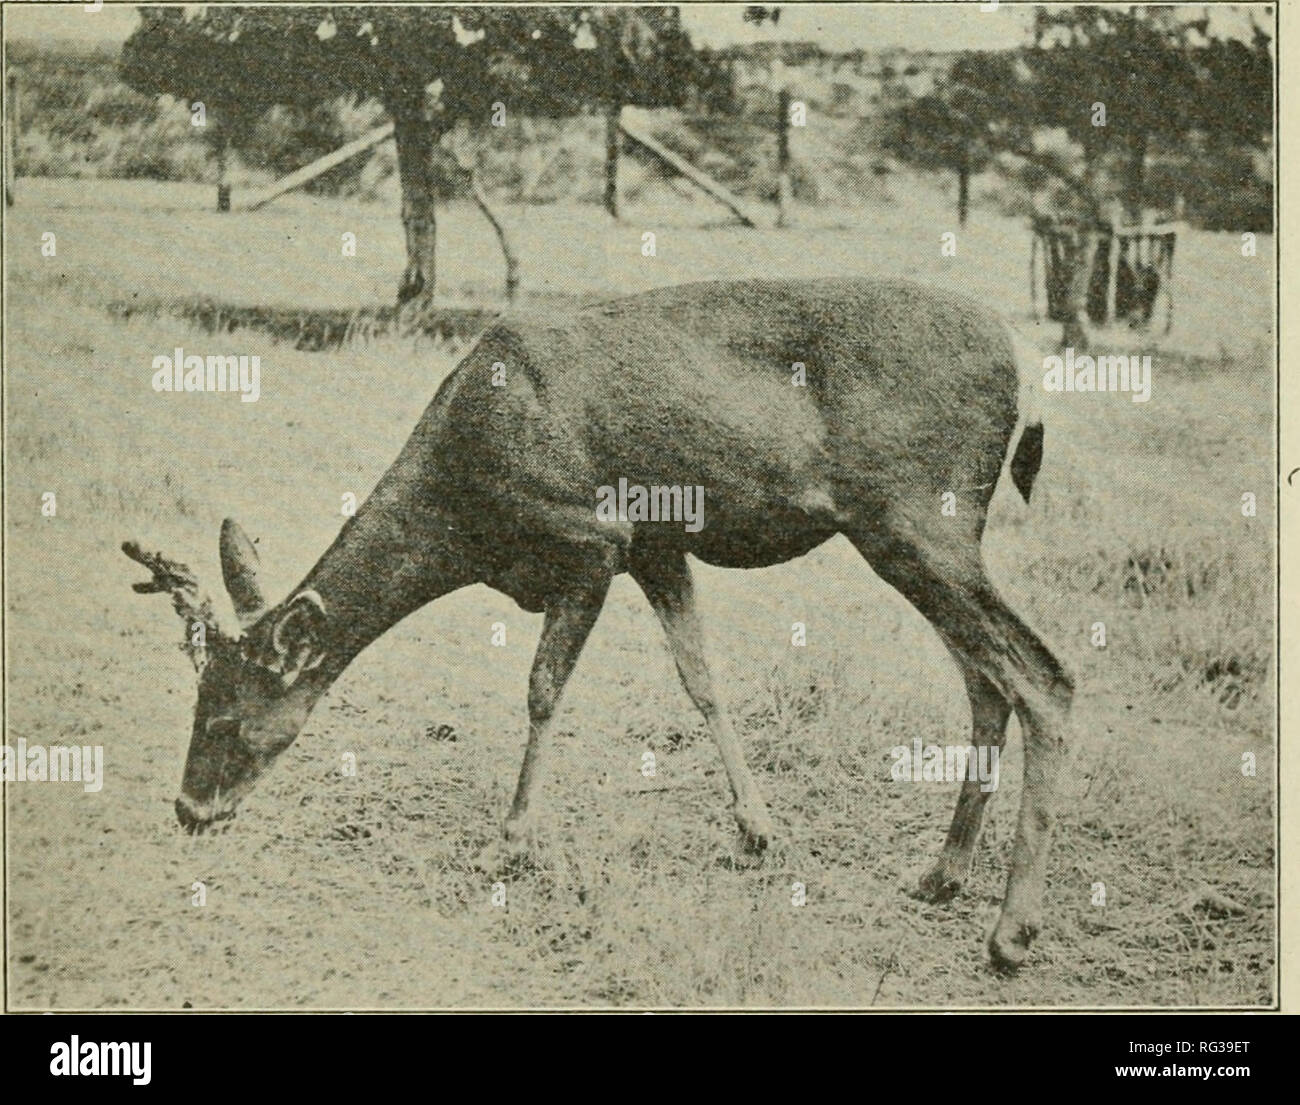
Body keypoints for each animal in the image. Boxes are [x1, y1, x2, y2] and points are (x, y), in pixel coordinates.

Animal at [126, 278, 1071, 967]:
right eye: (194, 699)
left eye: (227, 716)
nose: (188, 808)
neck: (467, 510)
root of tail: (1021, 366)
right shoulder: (657, 544)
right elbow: (701, 677)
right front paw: (758, 829)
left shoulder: (594, 536)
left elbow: (544, 690)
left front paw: (509, 845)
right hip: (925, 532)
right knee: (987, 680)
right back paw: (940, 874)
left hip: (915, 514)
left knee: (1043, 673)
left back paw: (1011, 932)